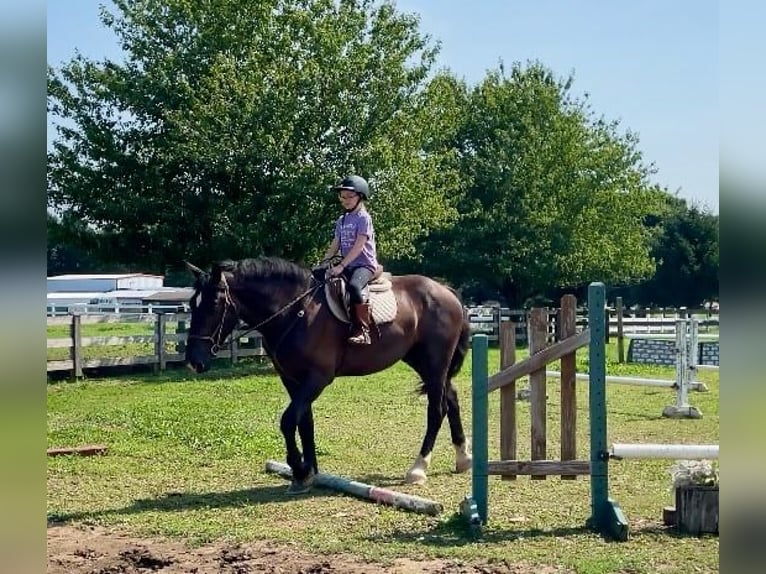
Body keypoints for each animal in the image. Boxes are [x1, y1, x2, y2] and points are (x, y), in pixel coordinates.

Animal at [186, 258, 474, 492]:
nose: (193, 362)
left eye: (214, 303)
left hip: (435, 363)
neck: (297, 310)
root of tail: (444, 290)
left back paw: (418, 468)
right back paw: (463, 458)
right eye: (191, 303)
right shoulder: (293, 379)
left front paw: (299, 468)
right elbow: (304, 421)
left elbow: (288, 420)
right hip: (423, 363)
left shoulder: (318, 378)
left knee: (436, 410)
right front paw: (307, 473)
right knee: (451, 398)